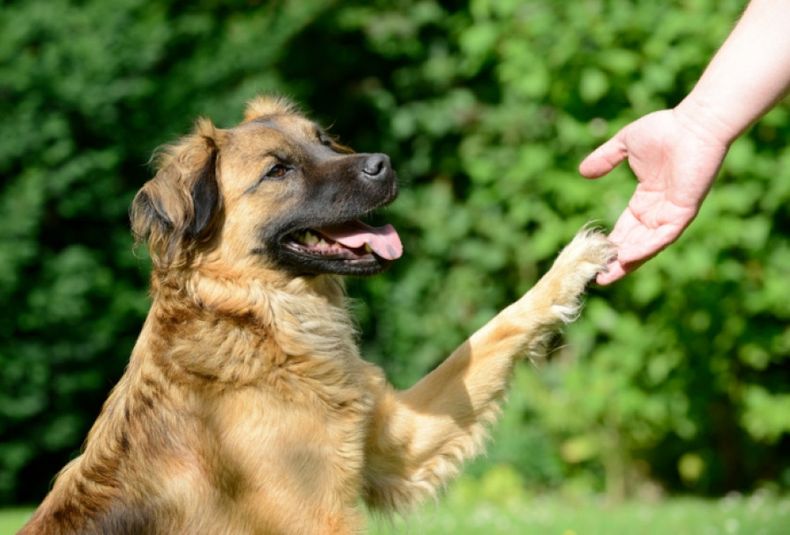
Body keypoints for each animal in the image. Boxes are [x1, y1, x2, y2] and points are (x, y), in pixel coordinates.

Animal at [17, 96, 612, 535]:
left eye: (322, 141)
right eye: (277, 170)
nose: (383, 164)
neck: (259, 322)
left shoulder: (397, 443)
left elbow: (493, 332)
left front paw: (572, 265)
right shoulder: (318, 518)